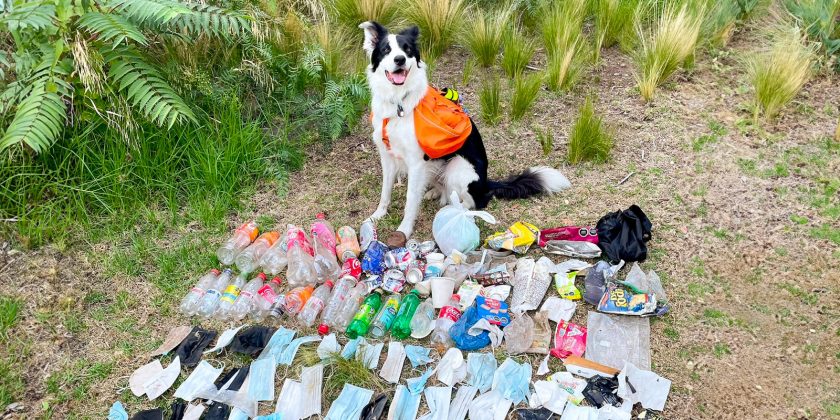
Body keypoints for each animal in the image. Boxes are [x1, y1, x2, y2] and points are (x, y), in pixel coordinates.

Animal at [360, 22, 572, 240]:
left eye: (407, 49)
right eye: (386, 50)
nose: (400, 59)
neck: (399, 101)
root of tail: (486, 183)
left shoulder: (417, 162)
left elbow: (410, 201)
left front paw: (404, 229)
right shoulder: (387, 156)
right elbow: (385, 191)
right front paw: (377, 216)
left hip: (457, 167)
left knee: (474, 202)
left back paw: (454, 210)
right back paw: (434, 193)